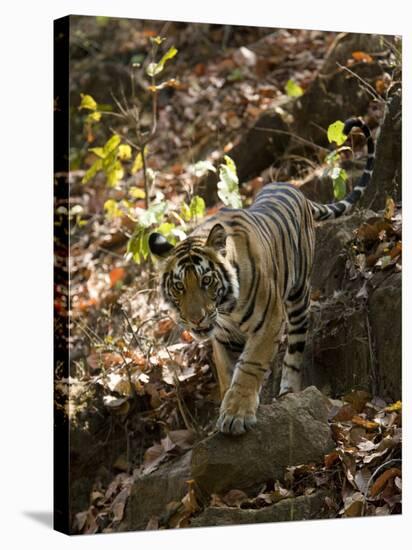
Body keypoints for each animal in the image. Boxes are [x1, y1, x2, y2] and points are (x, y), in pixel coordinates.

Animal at [150, 118, 374, 438]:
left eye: (206, 281)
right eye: (179, 286)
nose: (195, 320)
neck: (225, 309)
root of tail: (294, 187)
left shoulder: (269, 321)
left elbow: (249, 367)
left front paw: (236, 414)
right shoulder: (222, 338)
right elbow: (227, 374)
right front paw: (229, 404)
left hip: (297, 299)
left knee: (295, 349)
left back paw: (288, 392)